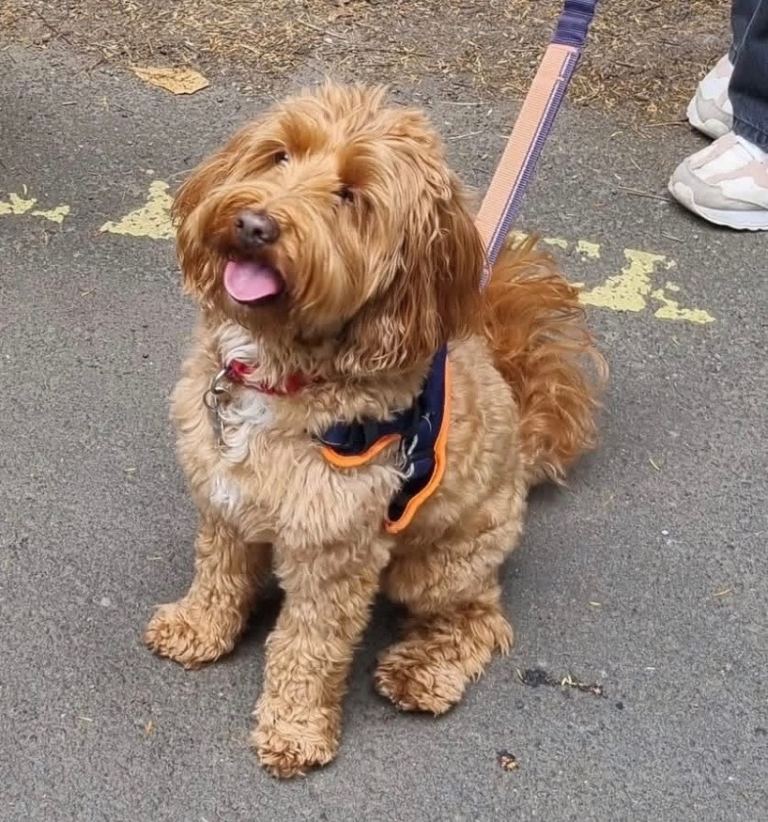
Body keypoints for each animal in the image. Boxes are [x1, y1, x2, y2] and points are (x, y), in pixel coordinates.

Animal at [144, 83, 606, 778]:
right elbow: (217, 576)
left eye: (351, 196)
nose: (255, 225)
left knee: (482, 619)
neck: (286, 372)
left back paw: (424, 670)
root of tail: (522, 452)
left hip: (439, 566)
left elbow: (308, 647)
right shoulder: (223, 501)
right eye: (280, 155)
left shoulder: (336, 553)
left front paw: (295, 730)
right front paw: (199, 629)